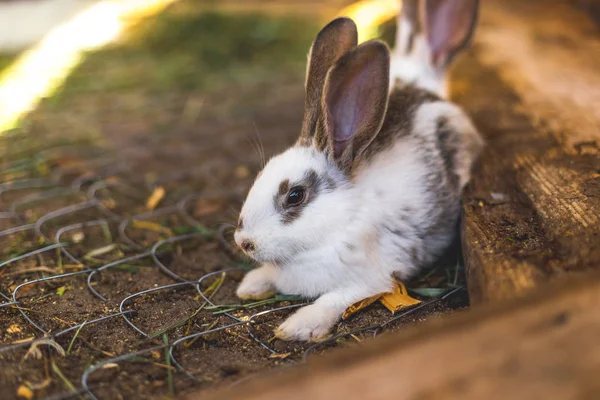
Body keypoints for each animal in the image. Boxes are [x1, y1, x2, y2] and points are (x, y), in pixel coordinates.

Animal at [233, 1, 482, 342]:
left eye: (295, 195)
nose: (243, 242)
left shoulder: (372, 281)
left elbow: (333, 300)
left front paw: (298, 326)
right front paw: (250, 286)